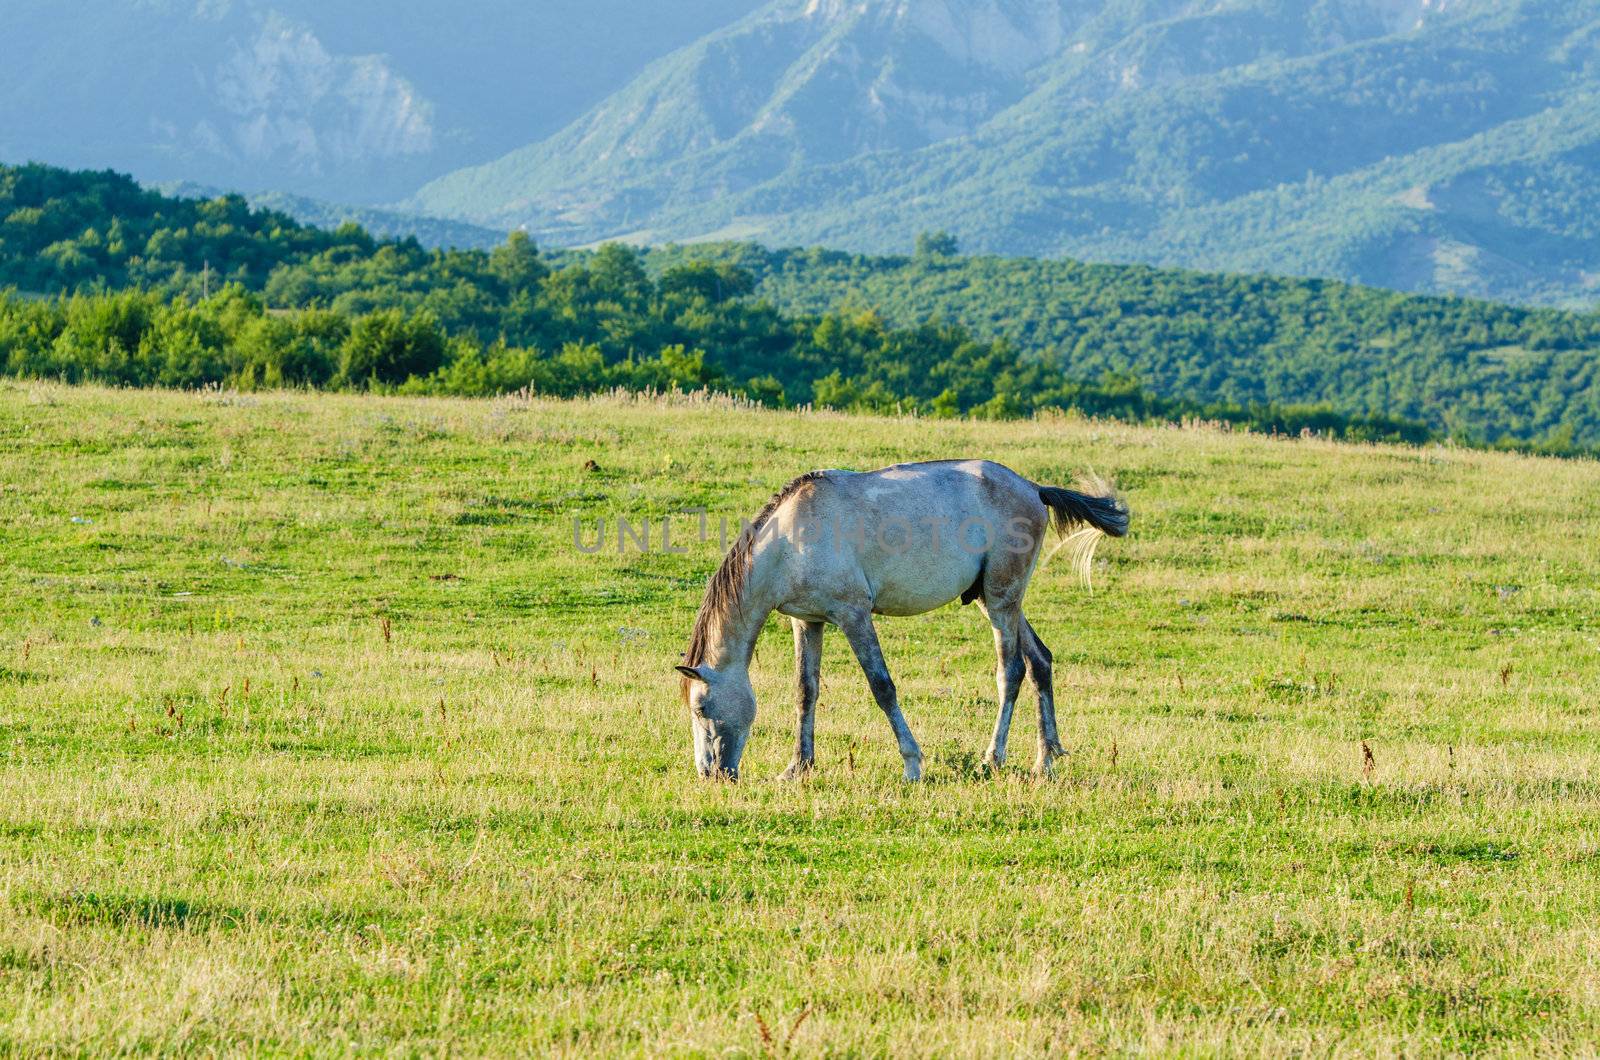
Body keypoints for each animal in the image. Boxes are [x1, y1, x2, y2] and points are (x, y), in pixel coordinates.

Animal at [675, 461, 1126, 784]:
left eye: (700, 708)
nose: (711, 774)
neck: (791, 539)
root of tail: (1033, 488)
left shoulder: (854, 616)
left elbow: (883, 687)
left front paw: (912, 764)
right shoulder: (808, 622)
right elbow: (806, 691)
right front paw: (797, 767)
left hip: (1001, 601)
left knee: (1011, 671)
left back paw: (992, 758)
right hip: (995, 600)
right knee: (1040, 662)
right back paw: (1044, 759)